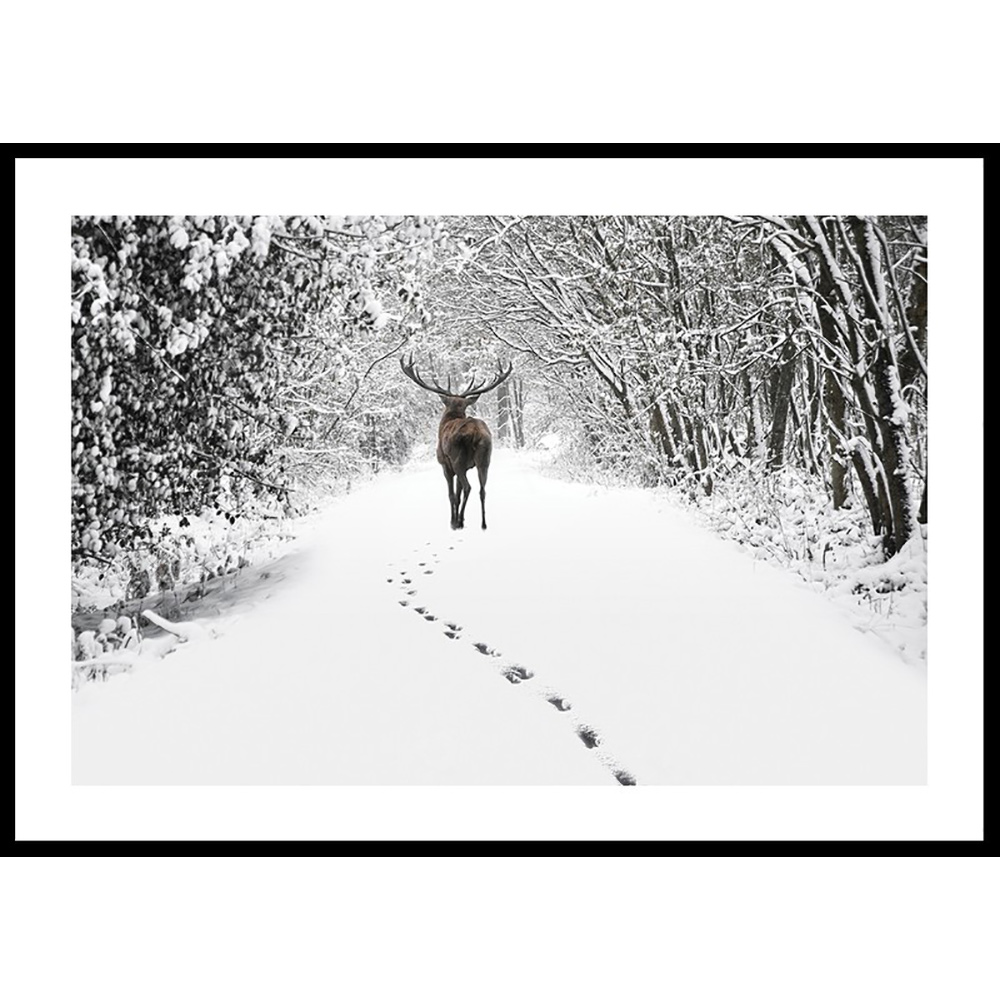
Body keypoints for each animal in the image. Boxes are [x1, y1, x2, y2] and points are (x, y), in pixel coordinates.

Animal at [400, 355, 514, 530]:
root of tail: (475, 433)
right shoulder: (466, 466)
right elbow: (458, 494)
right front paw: (460, 519)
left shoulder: (445, 465)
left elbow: (452, 494)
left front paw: (453, 521)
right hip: (485, 459)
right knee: (482, 490)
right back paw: (483, 524)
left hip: (457, 459)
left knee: (468, 487)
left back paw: (458, 522)